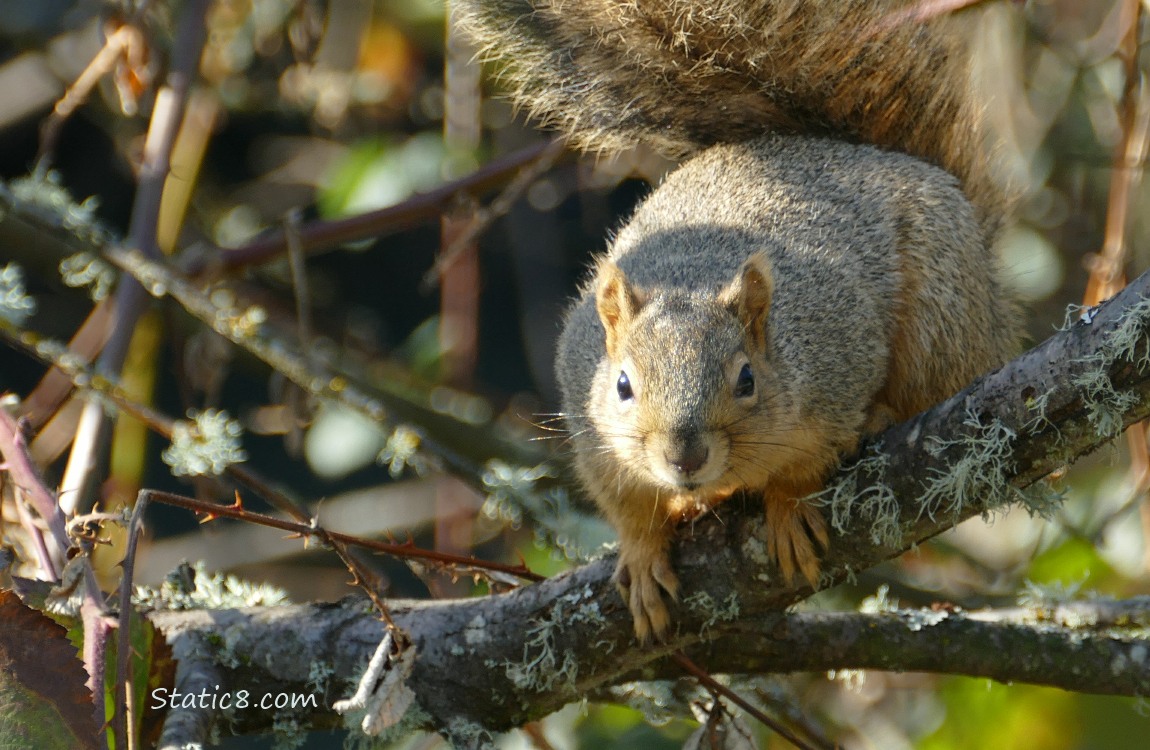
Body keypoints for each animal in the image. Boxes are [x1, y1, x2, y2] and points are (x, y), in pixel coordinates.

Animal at [455, 0, 1021, 641]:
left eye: (747, 379)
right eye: (622, 386)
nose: (685, 459)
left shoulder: (837, 368)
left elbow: (806, 465)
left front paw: (789, 508)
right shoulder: (593, 432)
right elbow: (626, 509)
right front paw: (643, 556)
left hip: (941, 319)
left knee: (939, 382)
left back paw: (882, 416)